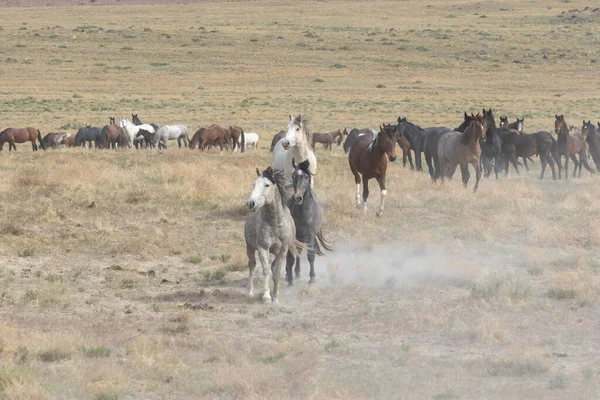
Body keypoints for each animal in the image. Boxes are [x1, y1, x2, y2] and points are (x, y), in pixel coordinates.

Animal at [244, 166, 300, 304]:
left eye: (267, 185)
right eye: (254, 184)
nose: (251, 203)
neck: (275, 223)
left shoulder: (282, 251)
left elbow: (276, 273)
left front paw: (275, 297)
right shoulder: (263, 248)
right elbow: (266, 270)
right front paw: (266, 297)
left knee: (273, 266)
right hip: (249, 247)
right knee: (252, 265)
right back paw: (249, 291)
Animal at [286, 158, 332, 286]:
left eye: (306, 177)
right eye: (293, 176)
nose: (297, 198)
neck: (303, 213)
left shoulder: (310, 234)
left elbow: (310, 255)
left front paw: (312, 278)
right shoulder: (293, 235)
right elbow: (290, 257)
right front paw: (290, 280)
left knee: (299, 251)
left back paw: (297, 272)